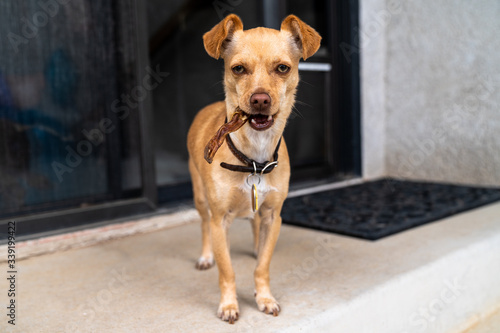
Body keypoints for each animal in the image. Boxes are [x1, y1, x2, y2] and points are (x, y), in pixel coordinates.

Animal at [187, 13, 320, 322]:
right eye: (238, 69)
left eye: (283, 68)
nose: (260, 99)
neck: (254, 162)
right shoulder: (220, 221)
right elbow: (227, 270)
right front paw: (229, 305)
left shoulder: (273, 217)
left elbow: (263, 265)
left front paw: (264, 297)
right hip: (200, 199)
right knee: (203, 225)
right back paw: (206, 256)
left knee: (254, 226)